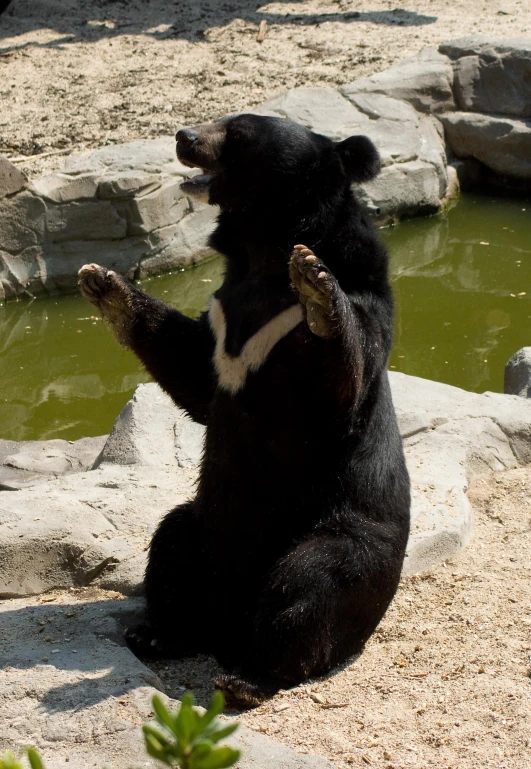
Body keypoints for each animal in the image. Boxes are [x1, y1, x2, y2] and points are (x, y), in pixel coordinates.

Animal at [79, 114, 412, 708]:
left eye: (237, 133)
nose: (184, 137)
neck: (261, 250)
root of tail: (229, 628)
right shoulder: (221, 318)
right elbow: (192, 371)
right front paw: (104, 282)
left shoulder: (343, 317)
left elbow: (344, 385)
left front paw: (316, 283)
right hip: (201, 529)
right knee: (172, 545)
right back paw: (160, 632)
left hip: (343, 535)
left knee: (311, 585)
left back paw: (248, 677)